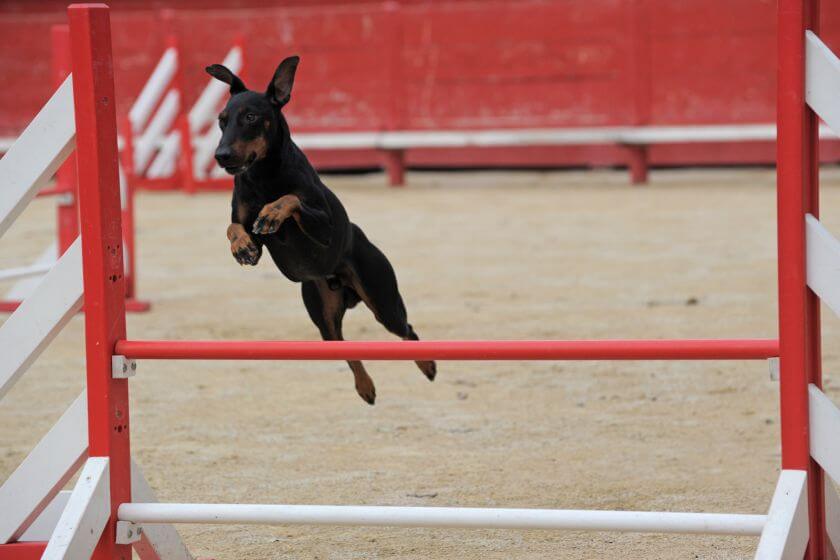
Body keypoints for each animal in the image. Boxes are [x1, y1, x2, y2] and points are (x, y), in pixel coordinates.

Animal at [207, 55, 436, 402]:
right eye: (222, 120)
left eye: (250, 116)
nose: (221, 156)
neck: (263, 175)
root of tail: (339, 282)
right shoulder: (246, 220)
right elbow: (233, 227)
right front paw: (242, 246)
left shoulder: (324, 229)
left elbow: (291, 200)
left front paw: (272, 214)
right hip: (323, 316)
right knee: (343, 346)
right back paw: (365, 386)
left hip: (382, 299)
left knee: (406, 331)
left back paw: (427, 364)